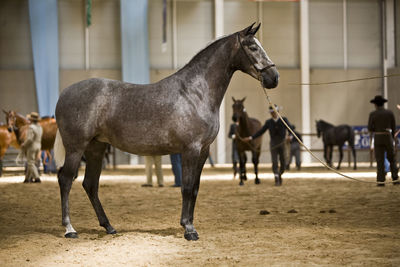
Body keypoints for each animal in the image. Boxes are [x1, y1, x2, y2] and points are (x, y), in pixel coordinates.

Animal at [54, 22, 278, 241]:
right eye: (252, 47)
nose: (274, 78)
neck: (195, 93)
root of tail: (64, 94)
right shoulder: (190, 150)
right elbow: (186, 188)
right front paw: (189, 229)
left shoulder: (203, 151)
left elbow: (195, 189)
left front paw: (188, 224)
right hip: (76, 148)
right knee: (66, 179)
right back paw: (69, 229)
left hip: (96, 148)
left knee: (90, 184)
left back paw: (108, 226)